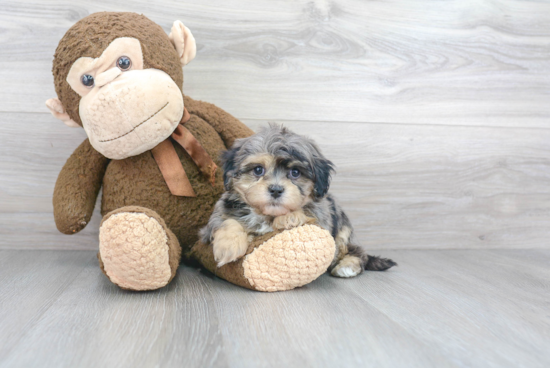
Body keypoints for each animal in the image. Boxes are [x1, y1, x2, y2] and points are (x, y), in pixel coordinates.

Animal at [202, 125, 396, 278]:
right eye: (258, 170)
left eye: (295, 172)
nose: (276, 189)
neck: (267, 215)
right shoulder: (215, 218)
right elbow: (227, 221)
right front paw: (228, 246)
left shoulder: (323, 218)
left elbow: (306, 211)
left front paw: (289, 218)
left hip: (342, 231)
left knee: (356, 251)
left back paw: (347, 266)